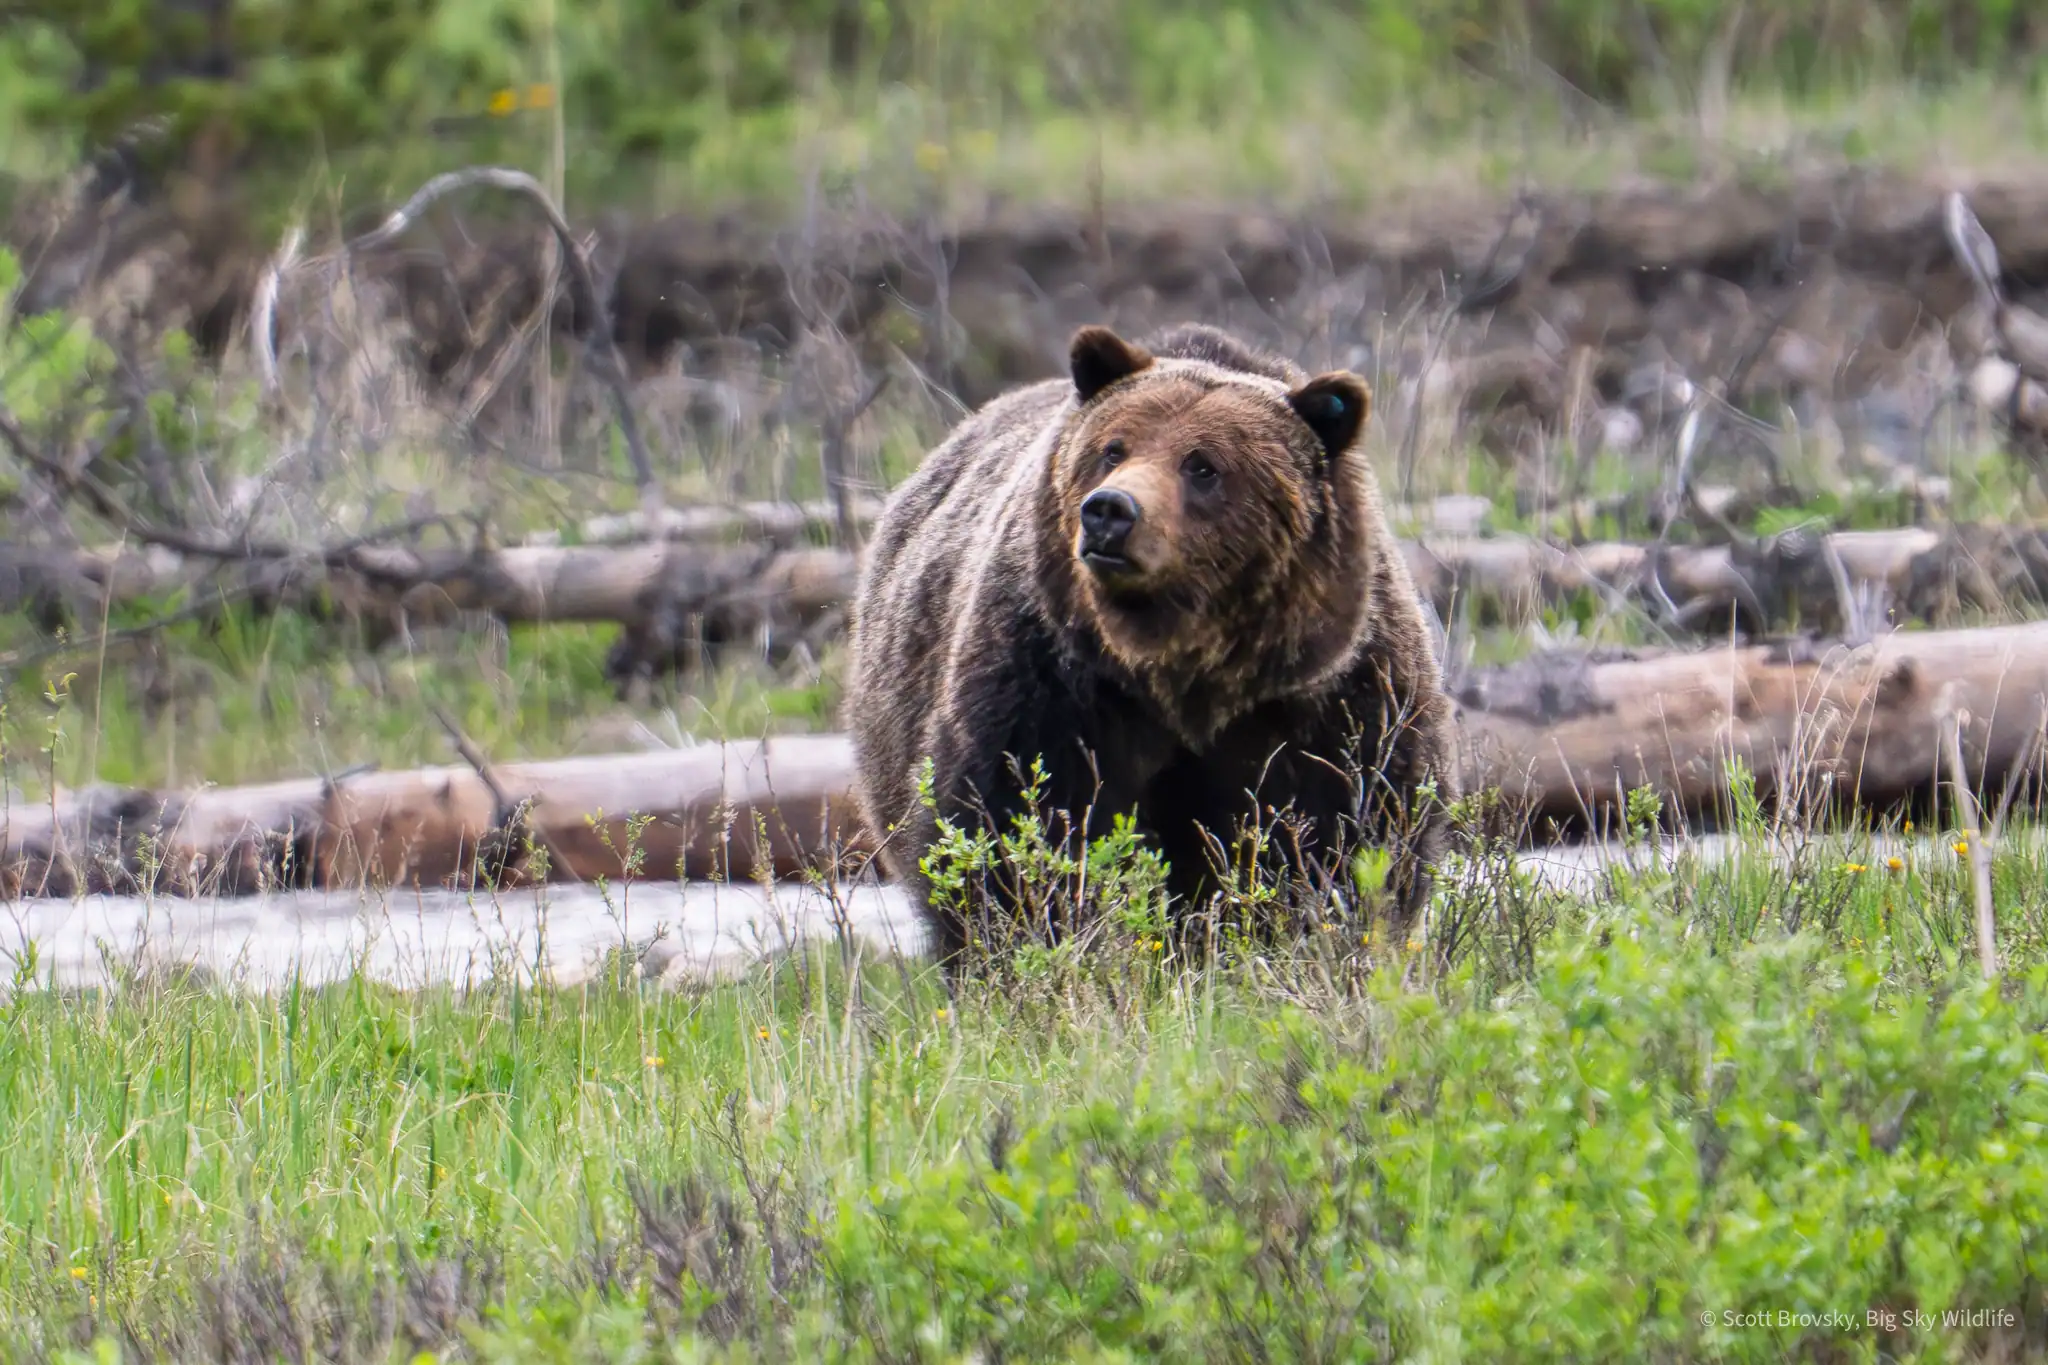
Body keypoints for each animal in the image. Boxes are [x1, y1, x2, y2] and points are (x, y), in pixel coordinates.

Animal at [844, 320, 1460, 974]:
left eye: (1203, 465)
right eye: (1113, 449)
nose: (1110, 511)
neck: (1182, 671)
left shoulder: (1329, 695)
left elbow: (1347, 832)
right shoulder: (1052, 681)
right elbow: (1012, 823)